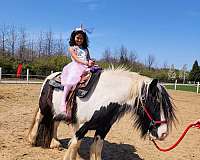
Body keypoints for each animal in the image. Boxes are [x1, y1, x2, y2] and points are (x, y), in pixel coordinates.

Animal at [28, 67, 177, 160]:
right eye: (155, 103)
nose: (164, 133)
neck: (103, 96)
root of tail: (51, 76)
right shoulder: (81, 128)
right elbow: (74, 146)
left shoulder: (103, 129)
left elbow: (96, 149)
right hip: (44, 107)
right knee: (39, 118)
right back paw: (32, 139)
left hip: (58, 111)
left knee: (55, 123)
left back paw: (54, 143)